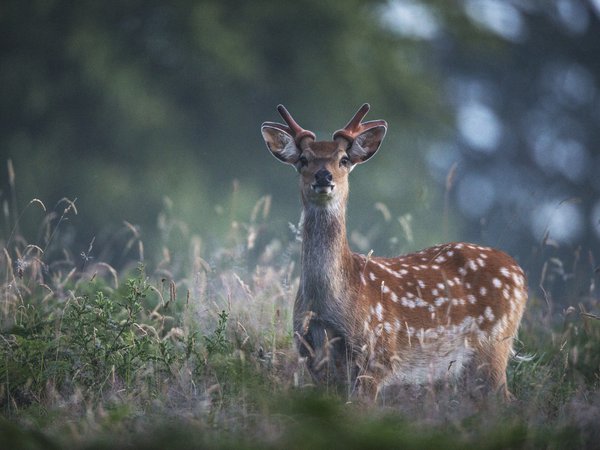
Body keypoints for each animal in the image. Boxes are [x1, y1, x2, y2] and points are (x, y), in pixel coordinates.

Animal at [260, 103, 528, 400]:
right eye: (304, 160)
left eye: (343, 159)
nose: (323, 176)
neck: (327, 305)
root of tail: (517, 270)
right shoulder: (313, 359)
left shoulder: (377, 355)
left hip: (495, 342)